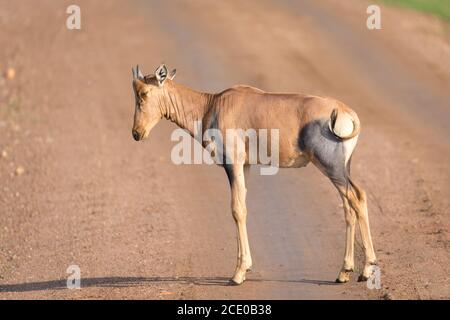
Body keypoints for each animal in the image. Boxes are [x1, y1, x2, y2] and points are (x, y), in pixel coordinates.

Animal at [130, 63, 376, 284]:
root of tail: (346, 112)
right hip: (342, 168)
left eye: (144, 93)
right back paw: (345, 272)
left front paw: (238, 274)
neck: (214, 104)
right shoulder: (245, 165)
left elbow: (237, 210)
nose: (136, 133)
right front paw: (245, 267)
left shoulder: (233, 163)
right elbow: (243, 207)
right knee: (349, 206)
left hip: (331, 167)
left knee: (357, 197)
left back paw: (366, 270)